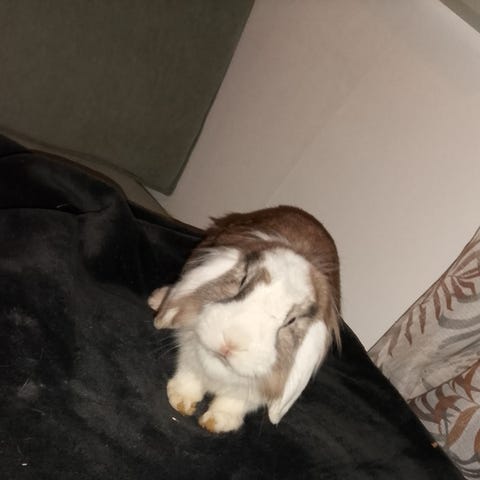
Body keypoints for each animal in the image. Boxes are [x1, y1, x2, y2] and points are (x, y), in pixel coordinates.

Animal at [148, 206, 341, 433]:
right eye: (241, 281)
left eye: (291, 320)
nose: (231, 343)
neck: (220, 368)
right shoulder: (189, 352)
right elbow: (189, 374)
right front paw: (181, 401)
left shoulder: (252, 393)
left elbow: (234, 403)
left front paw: (218, 422)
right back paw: (157, 300)